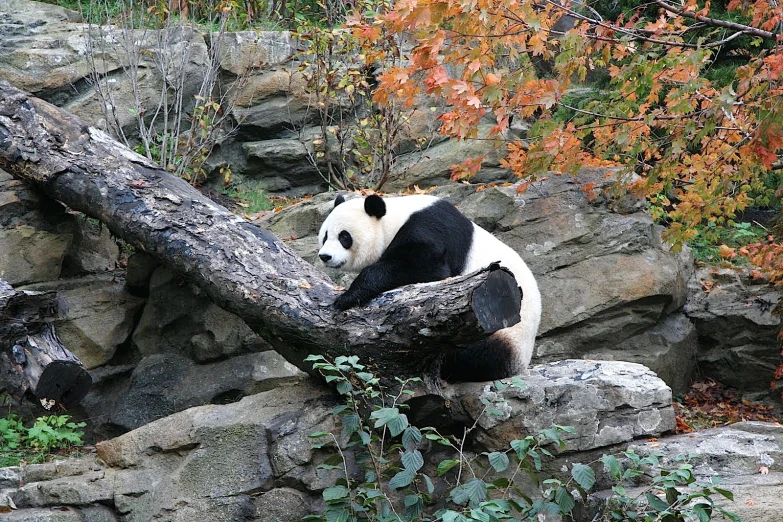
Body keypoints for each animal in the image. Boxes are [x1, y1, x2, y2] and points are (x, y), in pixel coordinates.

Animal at [316, 193, 544, 380]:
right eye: (325, 235)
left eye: (344, 236)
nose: (325, 256)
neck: (394, 219)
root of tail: (521, 365)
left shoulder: (430, 228)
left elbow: (428, 269)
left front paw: (346, 297)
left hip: (501, 332)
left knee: (471, 354)